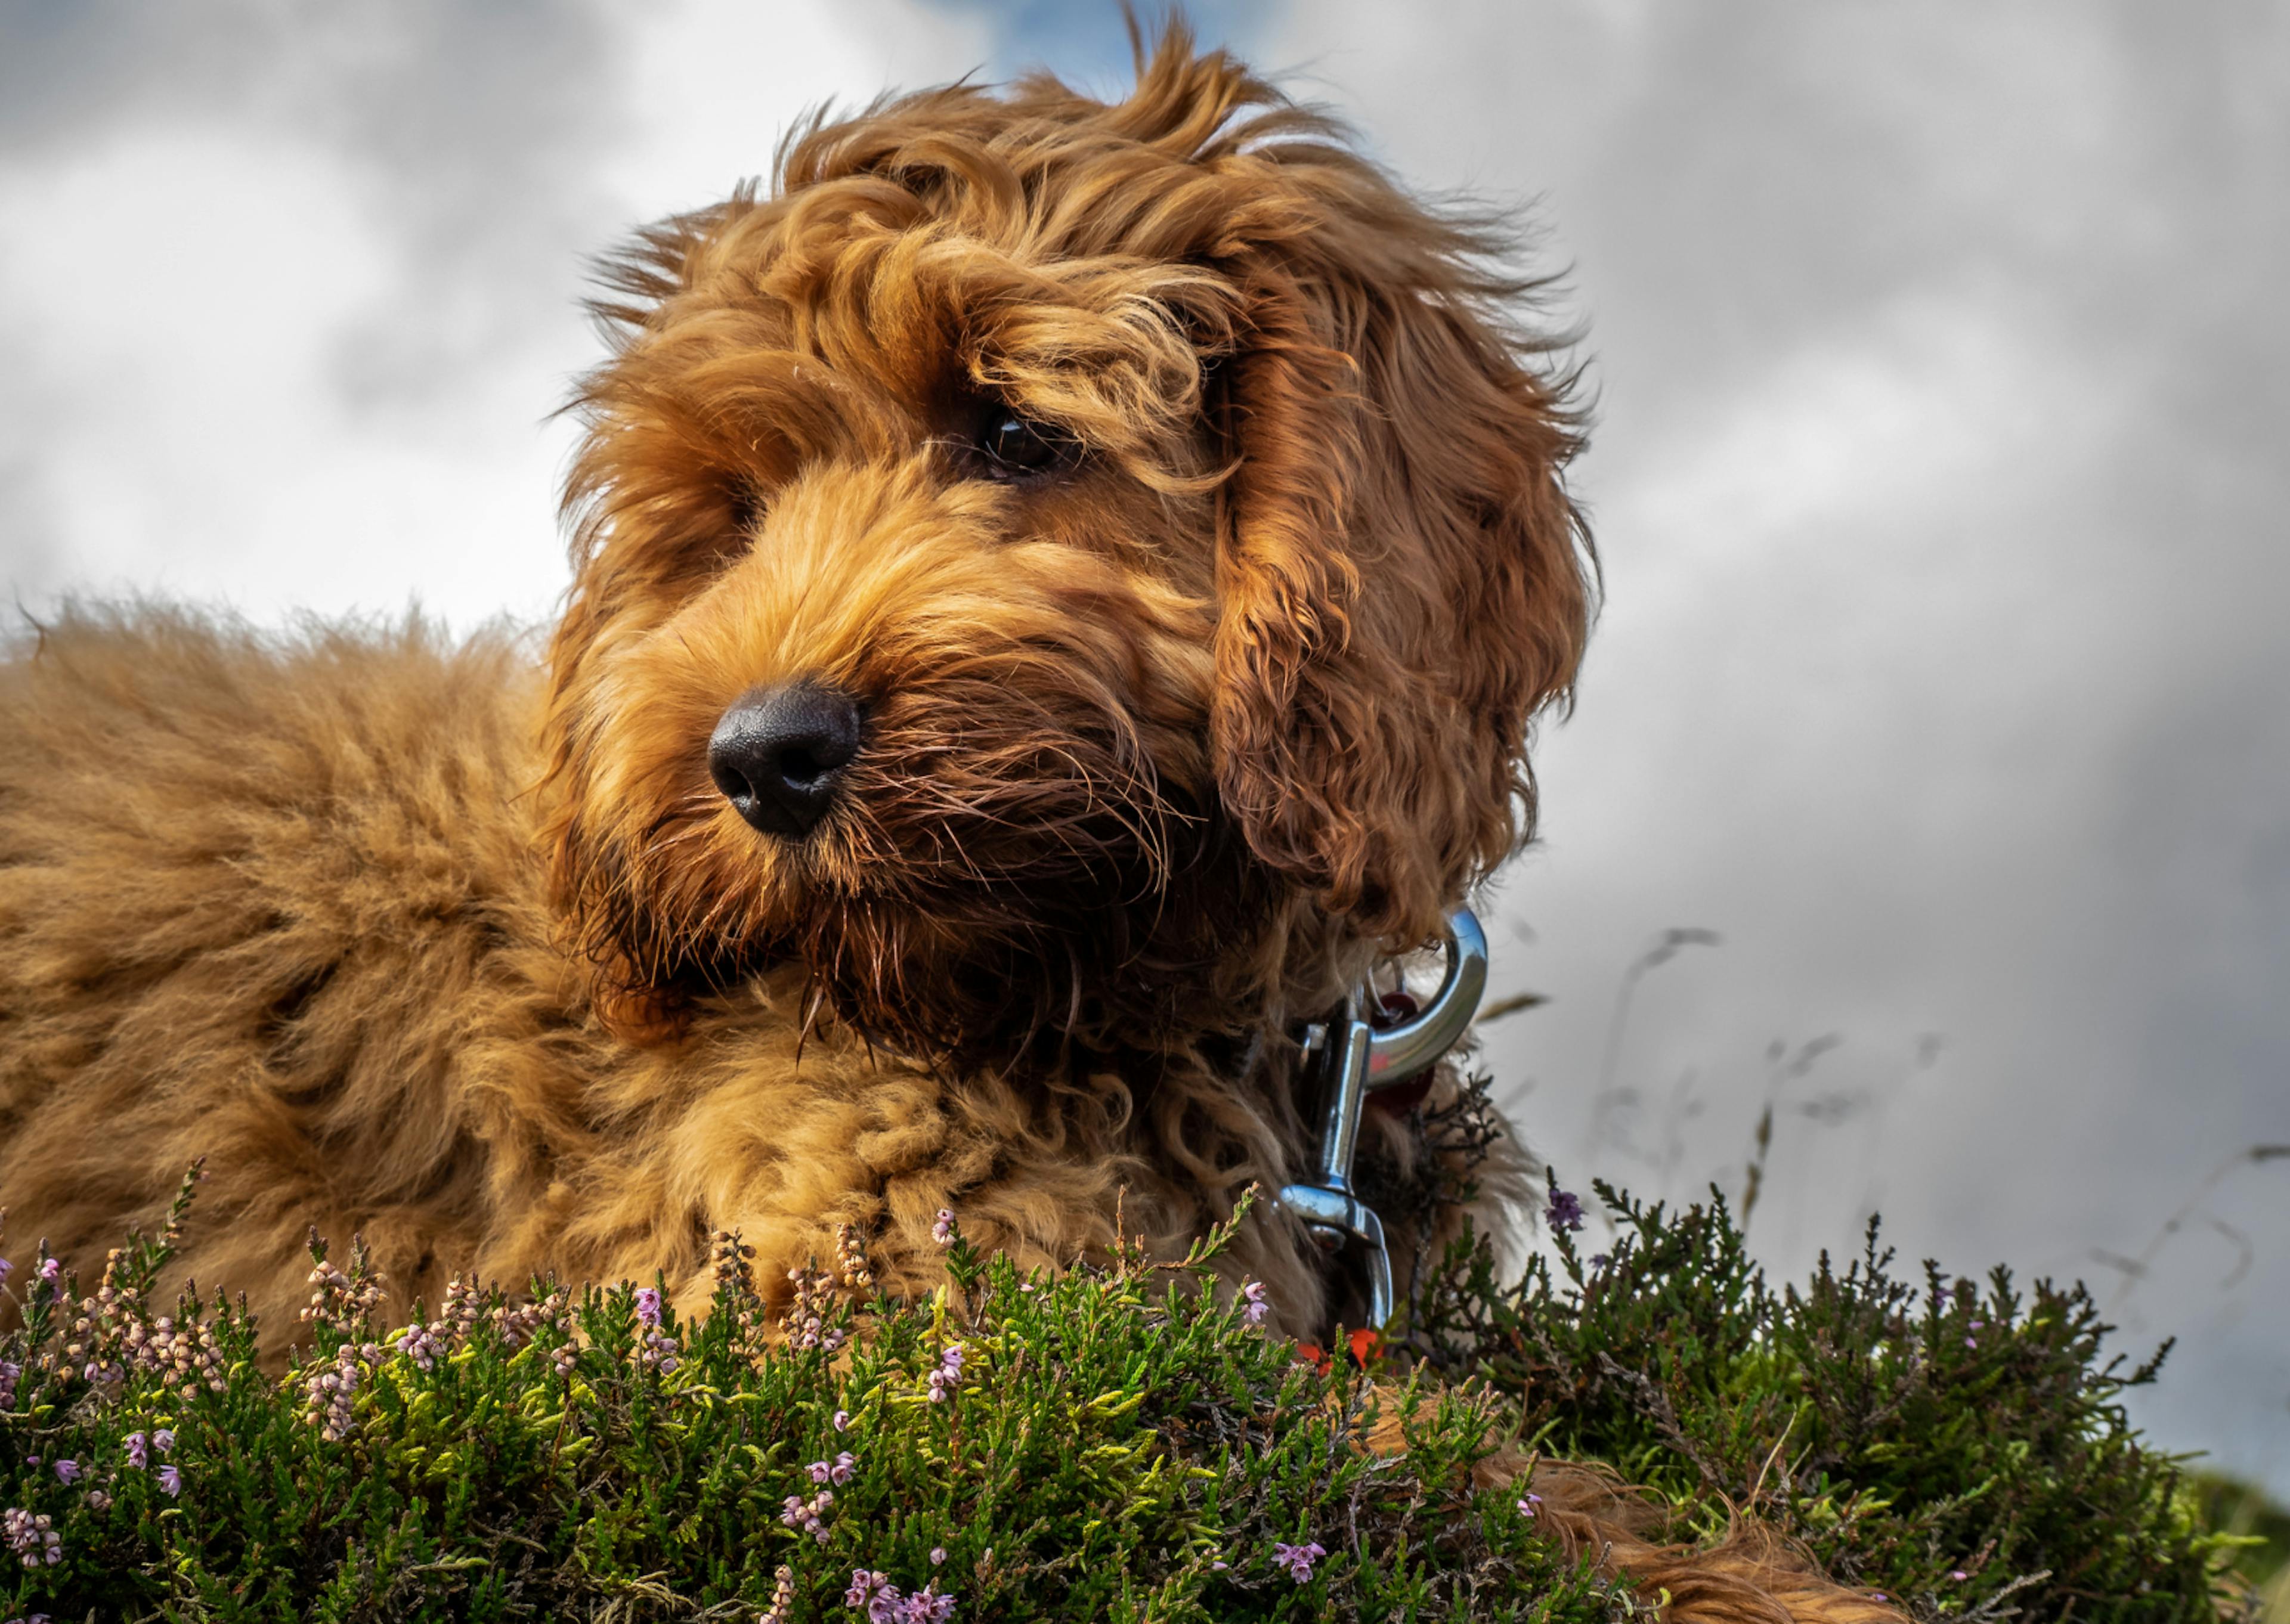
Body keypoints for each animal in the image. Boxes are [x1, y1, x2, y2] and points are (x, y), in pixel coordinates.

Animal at [0, 28, 1896, 1622]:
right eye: (734, 512)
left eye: (1013, 429)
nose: (764, 756)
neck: (1108, 1000)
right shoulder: (864, 1304)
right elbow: (1420, 1464)